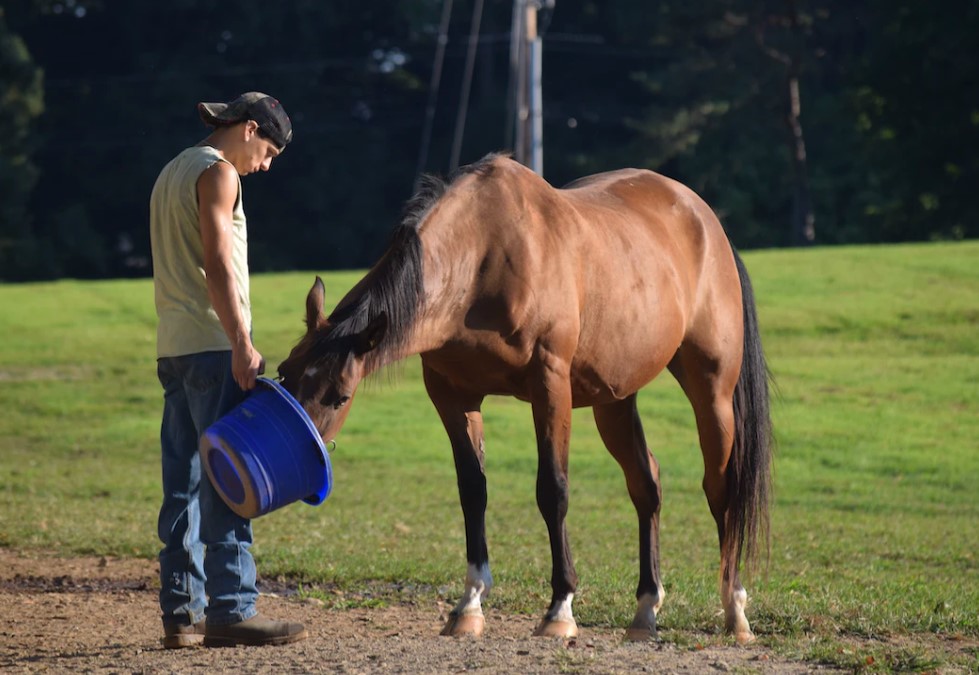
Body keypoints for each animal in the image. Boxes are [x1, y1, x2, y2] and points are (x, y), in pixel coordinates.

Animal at [276, 152, 772, 644]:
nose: (301, 457)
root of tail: (705, 220)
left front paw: (560, 609)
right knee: (646, 485)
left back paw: (735, 610)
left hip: (712, 392)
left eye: (340, 396)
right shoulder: (452, 394)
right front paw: (469, 605)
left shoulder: (549, 383)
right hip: (614, 399)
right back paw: (646, 610)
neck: (485, 256)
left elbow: (552, 490)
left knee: (720, 488)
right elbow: (472, 491)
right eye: (284, 375)